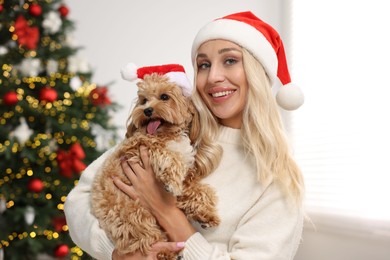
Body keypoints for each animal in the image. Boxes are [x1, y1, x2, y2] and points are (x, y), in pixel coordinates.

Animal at [90, 64, 221, 258]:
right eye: (144, 100)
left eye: (164, 97)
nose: (147, 111)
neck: (168, 134)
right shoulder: (137, 148)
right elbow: (169, 156)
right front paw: (171, 182)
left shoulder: (187, 176)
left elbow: (199, 190)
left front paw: (205, 214)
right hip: (135, 214)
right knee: (148, 239)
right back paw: (167, 253)